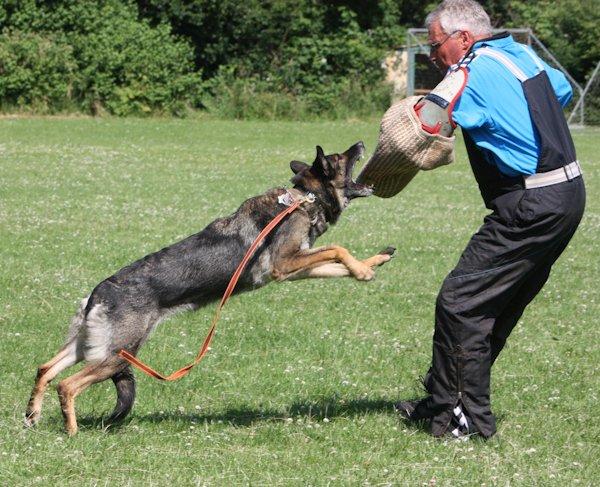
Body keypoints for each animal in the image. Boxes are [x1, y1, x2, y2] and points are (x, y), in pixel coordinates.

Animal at [25, 141, 396, 434]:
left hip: (89, 347)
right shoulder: (286, 263)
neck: (303, 197)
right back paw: (71, 431)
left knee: (45, 369)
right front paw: (364, 268)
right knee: (66, 385)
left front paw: (370, 265)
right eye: (340, 157)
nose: (361, 143)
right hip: (117, 354)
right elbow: (337, 249)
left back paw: (33, 416)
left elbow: (336, 263)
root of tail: (98, 293)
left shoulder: (294, 269)